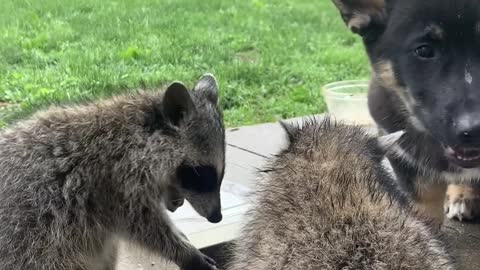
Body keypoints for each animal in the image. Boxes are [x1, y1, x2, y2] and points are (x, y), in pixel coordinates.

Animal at [0, 74, 226, 270]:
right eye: (201, 174)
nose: (217, 217)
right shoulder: (111, 183)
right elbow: (144, 227)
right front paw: (183, 251)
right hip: (31, 245)